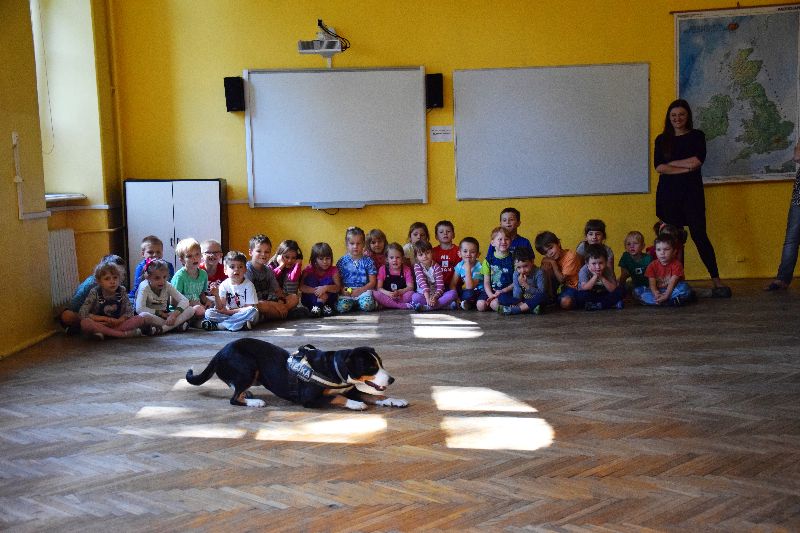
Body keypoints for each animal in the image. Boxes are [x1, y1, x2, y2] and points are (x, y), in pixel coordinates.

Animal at [185, 338, 408, 410]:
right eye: (371, 368)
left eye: (381, 363)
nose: (391, 379)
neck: (333, 368)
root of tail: (220, 352)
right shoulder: (309, 399)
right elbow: (336, 397)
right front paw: (354, 404)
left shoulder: (352, 389)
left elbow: (376, 395)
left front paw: (394, 400)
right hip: (247, 366)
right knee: (233, 399)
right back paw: (254, 402)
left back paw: (248, 394)